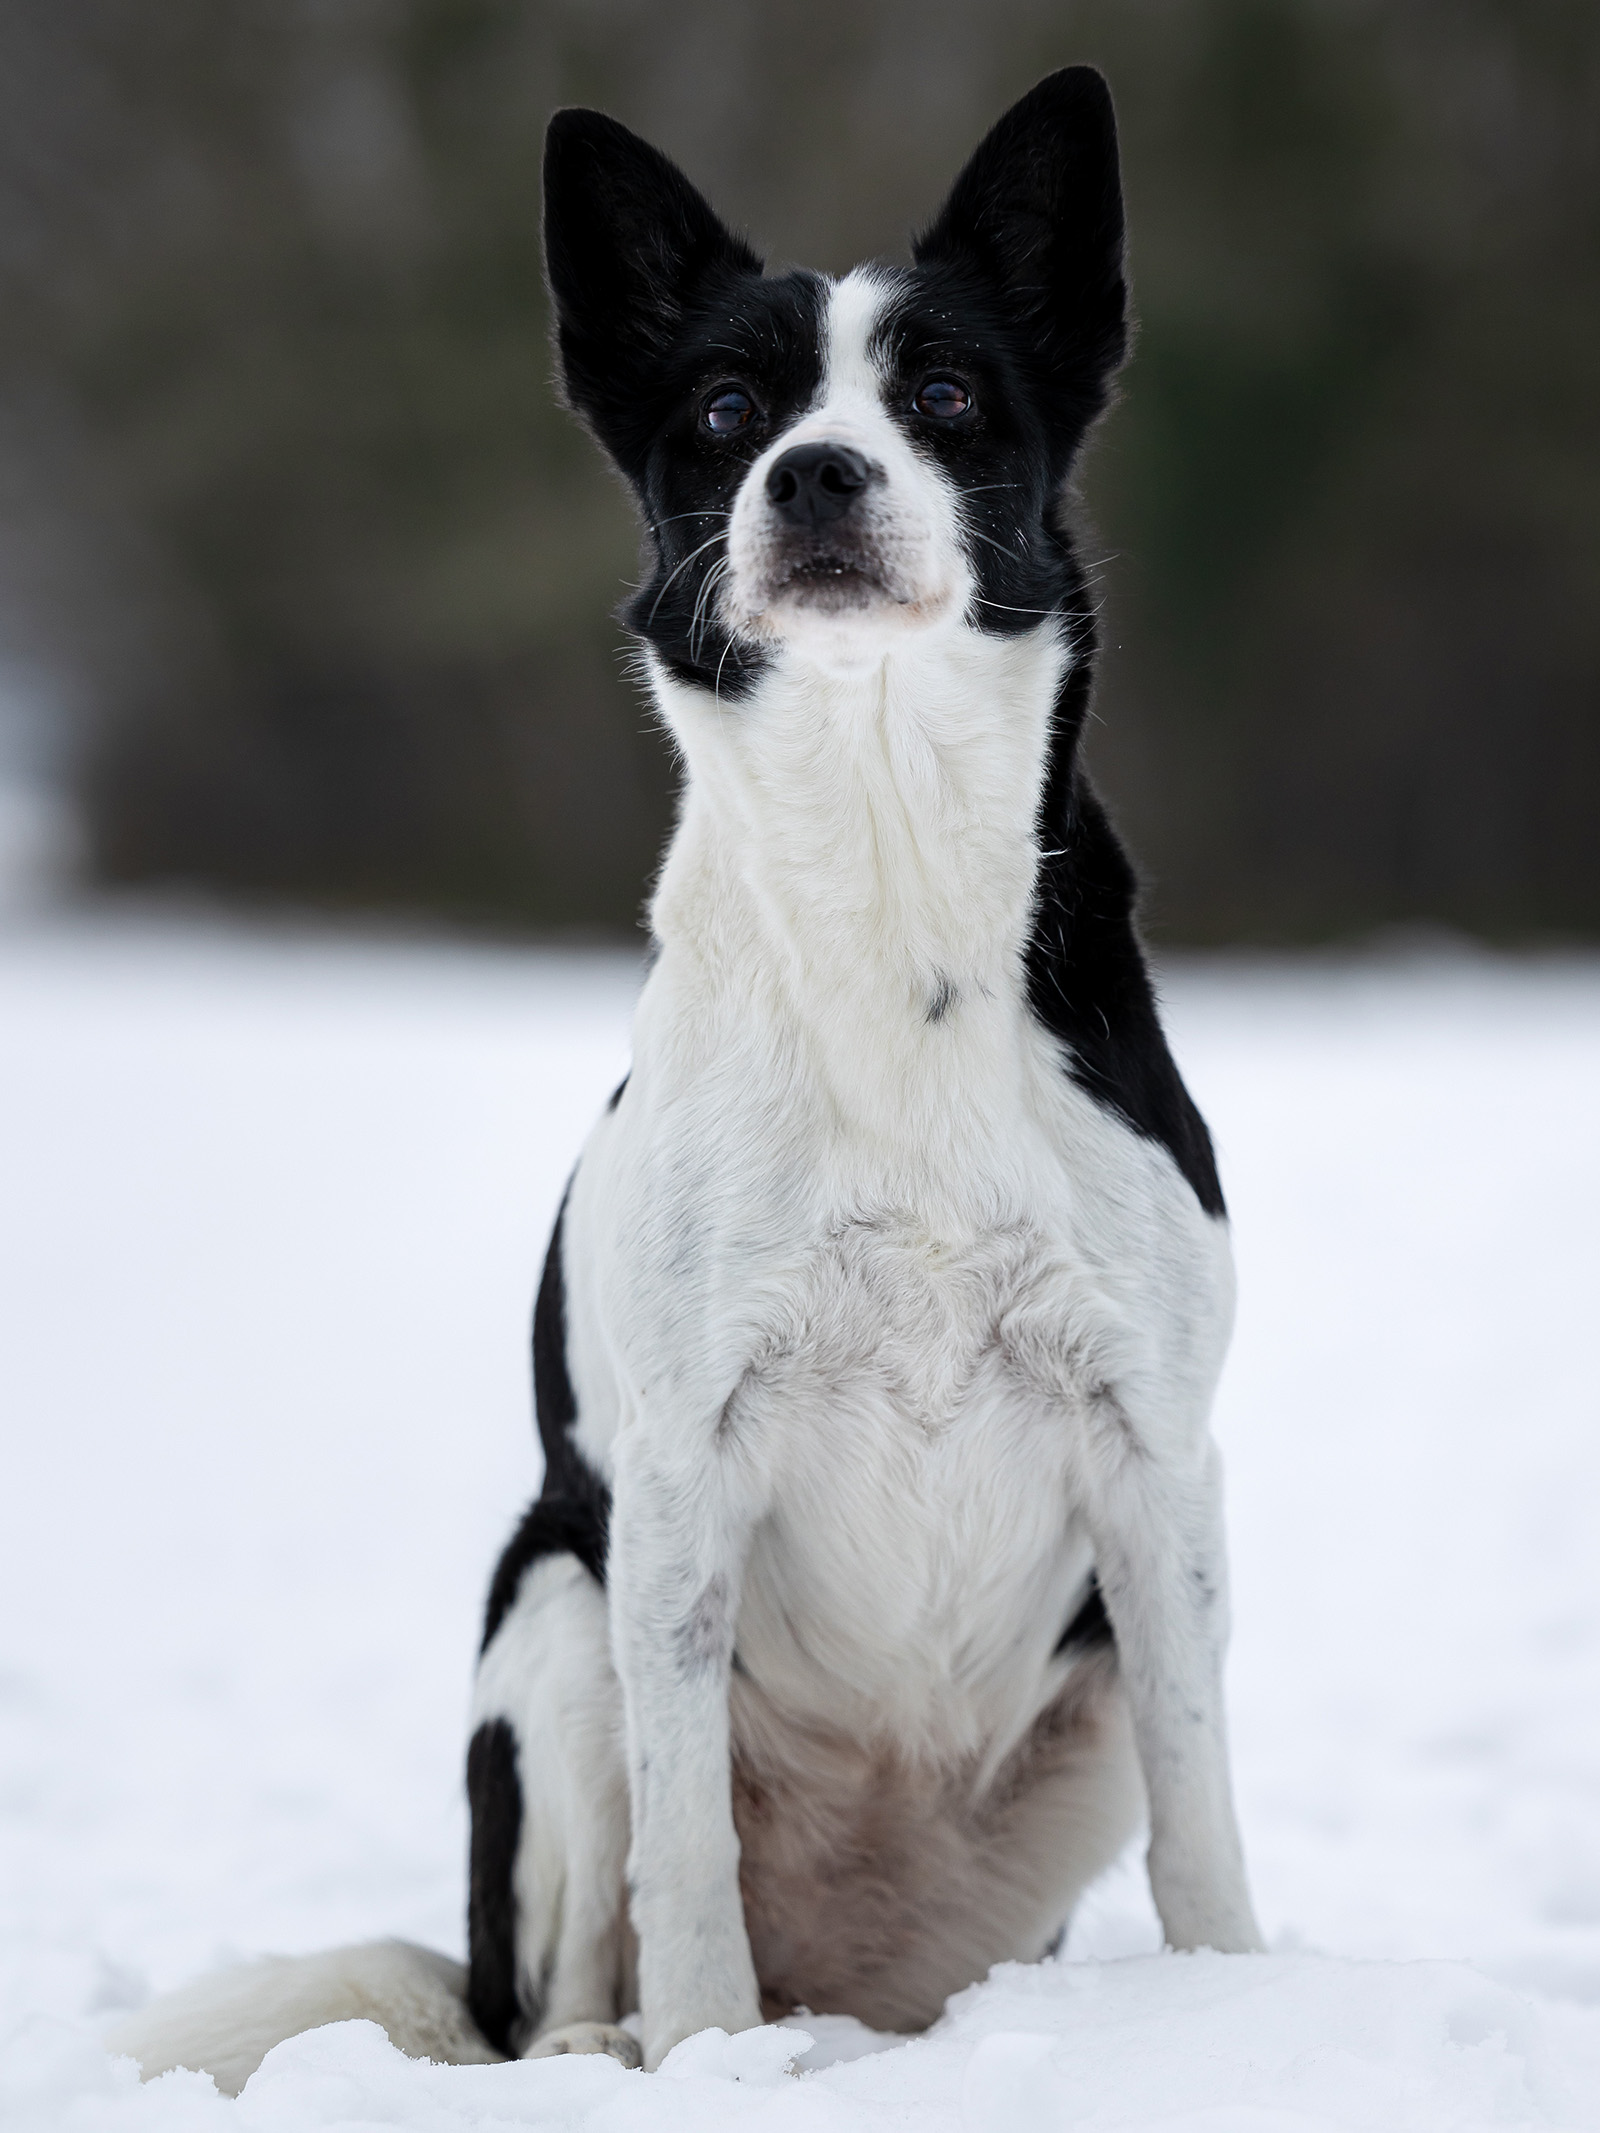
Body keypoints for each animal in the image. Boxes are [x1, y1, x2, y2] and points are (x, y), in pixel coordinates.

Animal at [109, 70, 1262, 2098]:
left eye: (942, 392)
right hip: (559, 1602)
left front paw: (1244, 2012)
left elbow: (1208, 1826)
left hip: (1079, 1688)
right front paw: (715, 2068)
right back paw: (635, 2047)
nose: (813, 474)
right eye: (729, 409)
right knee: (570, 1969)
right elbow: (686, 1854)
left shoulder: (1156, 1461)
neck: (886, 891)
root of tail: (859, 1984)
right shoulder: (674, 1471)